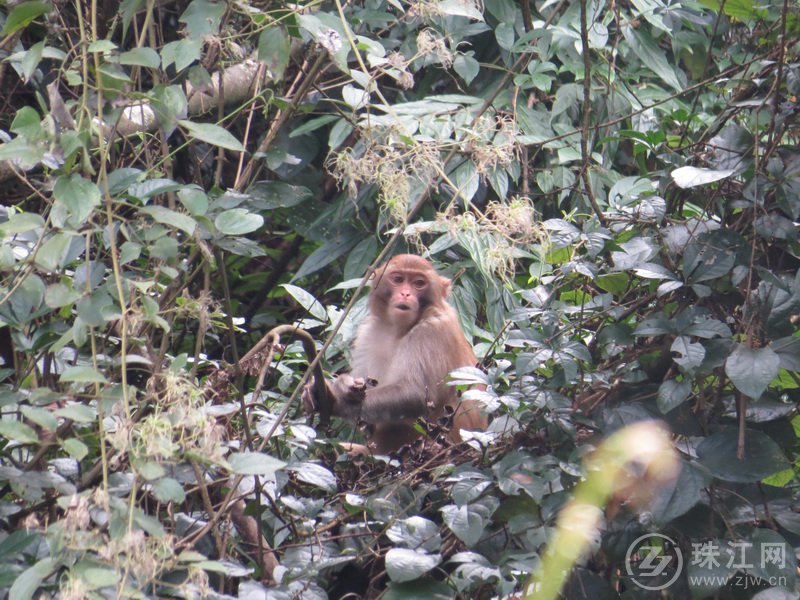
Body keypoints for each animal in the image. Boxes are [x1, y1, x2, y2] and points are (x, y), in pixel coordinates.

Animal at [304, 254, 484, 454]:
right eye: (398, 279)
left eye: (419, 283)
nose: (405, 293)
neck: (399, 330)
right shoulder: (368, 332)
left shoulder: (434, 330)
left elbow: (416, 394)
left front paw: (335, 399)